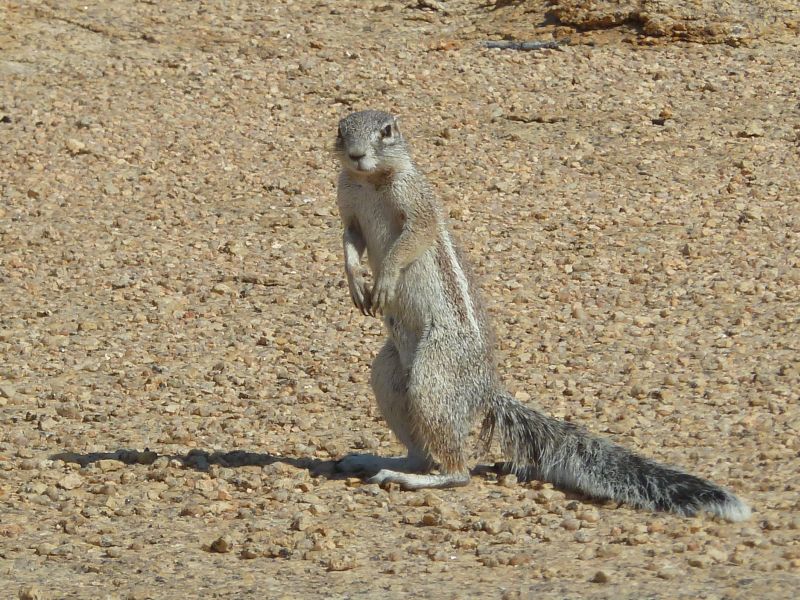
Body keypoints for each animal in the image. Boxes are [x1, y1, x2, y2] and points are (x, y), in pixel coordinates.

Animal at [330, 108, 752, 520]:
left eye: (387, 131)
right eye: (340, 129)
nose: (356, 154)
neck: (370, 181)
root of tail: (485, 388)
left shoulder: (417, 205)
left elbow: (412, 240)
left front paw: (383, 281)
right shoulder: (347, 208)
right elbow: (349, 241)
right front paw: (356, 282)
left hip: (434, 375)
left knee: (457, 470)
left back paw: (415, 478)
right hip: (388, 377)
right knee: (420, 450)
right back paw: (376, 461)